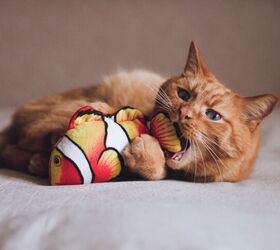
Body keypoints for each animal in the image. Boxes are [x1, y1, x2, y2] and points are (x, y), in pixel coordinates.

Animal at [0, 42, 278, 181]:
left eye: (213, 116)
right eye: (184, 95)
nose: (184, 112)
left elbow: (159, 172)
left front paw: (146, 155)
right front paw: (104, 112)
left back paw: (37, 161)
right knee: (28, 136)